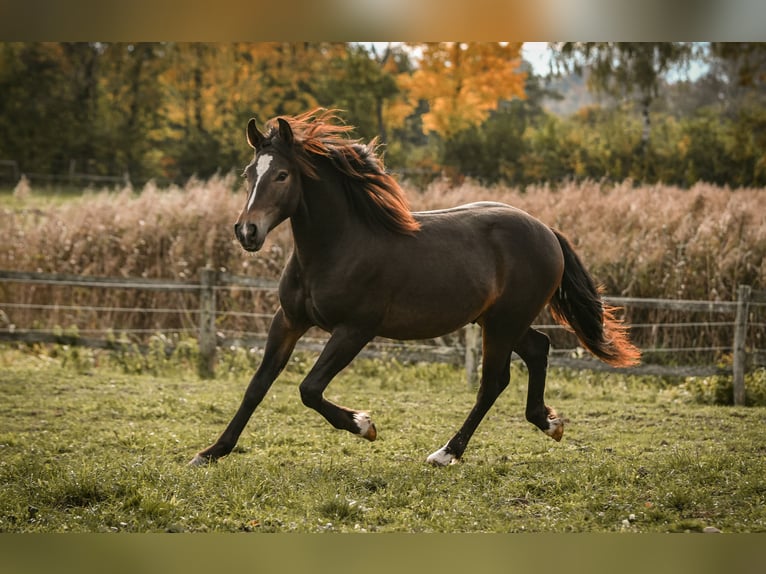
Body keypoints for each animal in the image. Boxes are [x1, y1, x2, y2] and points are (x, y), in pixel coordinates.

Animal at [190, 108, 640, 467]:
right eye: (250, 174)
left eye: (282, 175)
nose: (247, 232)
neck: (335, 247)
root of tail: (546, 230)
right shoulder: (288, 321)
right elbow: (257, 386)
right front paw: (210, 453)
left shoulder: (355, 330)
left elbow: (309, 389)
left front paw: (364, 424)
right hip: (497, 320)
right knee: (538, 349)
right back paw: (549, 422)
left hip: (503, 322)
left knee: (493, 382)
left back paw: (447, 453)